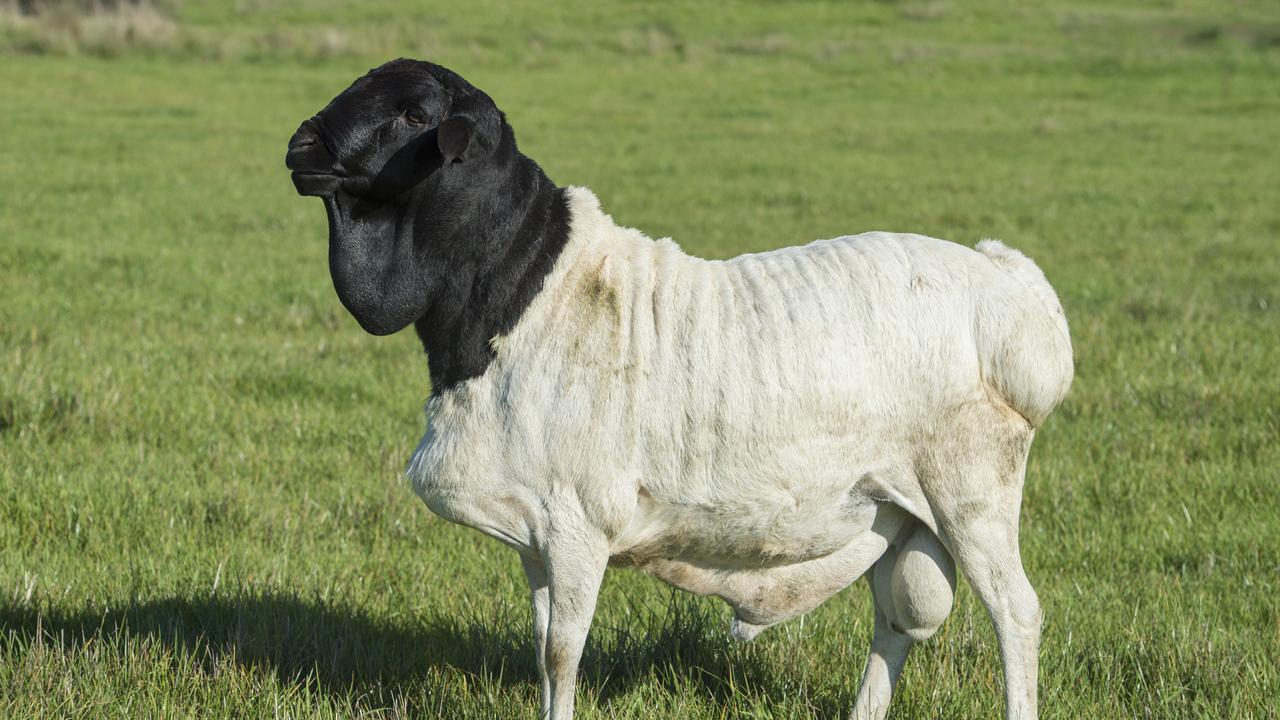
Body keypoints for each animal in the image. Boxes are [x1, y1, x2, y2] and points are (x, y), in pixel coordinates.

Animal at [288, 57, 1070, 717]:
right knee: (896, 624)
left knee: (1015, 612)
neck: (522, 288)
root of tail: (1008, 287)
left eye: (415, 113)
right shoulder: (535, 535)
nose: (299, 147)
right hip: (899, 509)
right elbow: (542, 653)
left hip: (971, 488)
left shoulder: (578, 522)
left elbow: (562, 655)